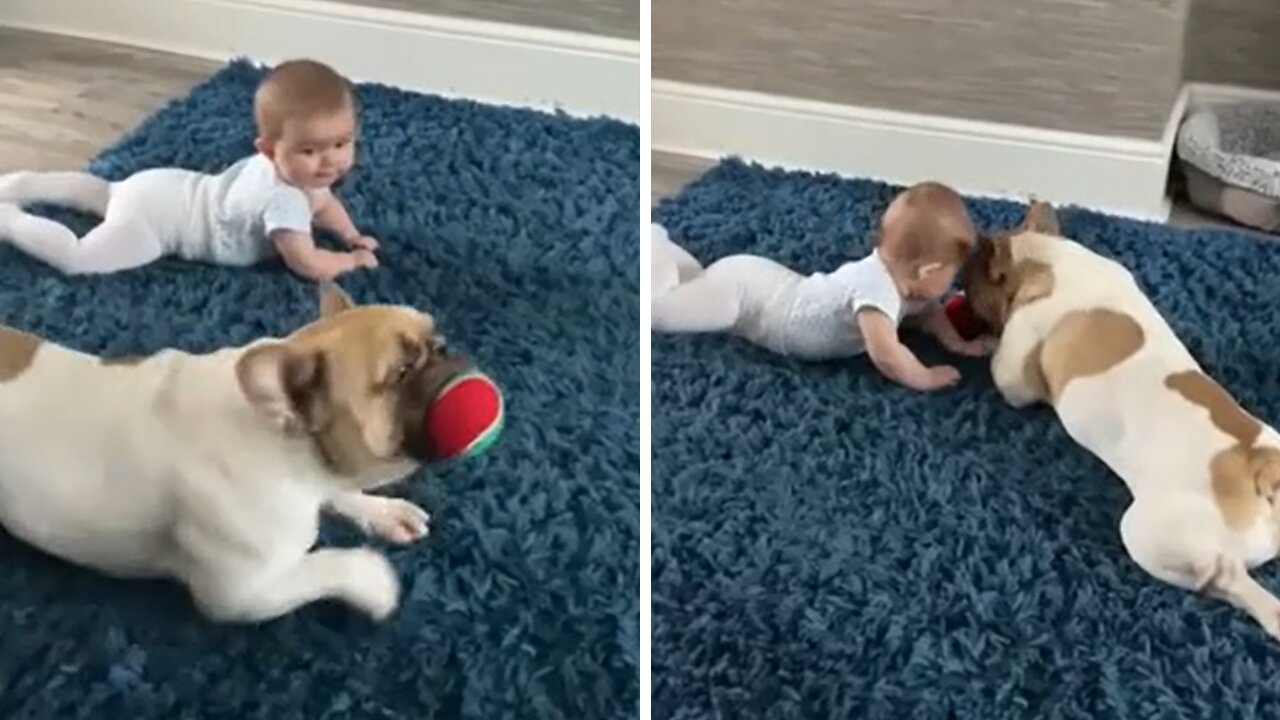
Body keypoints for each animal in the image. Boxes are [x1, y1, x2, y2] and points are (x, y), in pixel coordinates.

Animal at [0, 283, 465, 620]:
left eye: (437, 343)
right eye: (402, 372)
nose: (449, 351)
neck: (289, 451)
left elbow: (345, 493)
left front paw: (383, 512)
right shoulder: (243, 593)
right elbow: (326, 566)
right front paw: (373, 578)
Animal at [962, 198, 1280, 635]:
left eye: (970, 285)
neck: (1047, 259)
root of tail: (1258, 465)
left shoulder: (1016, 369)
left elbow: (1006, 370)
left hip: (1150, 533)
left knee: (1226, 577)